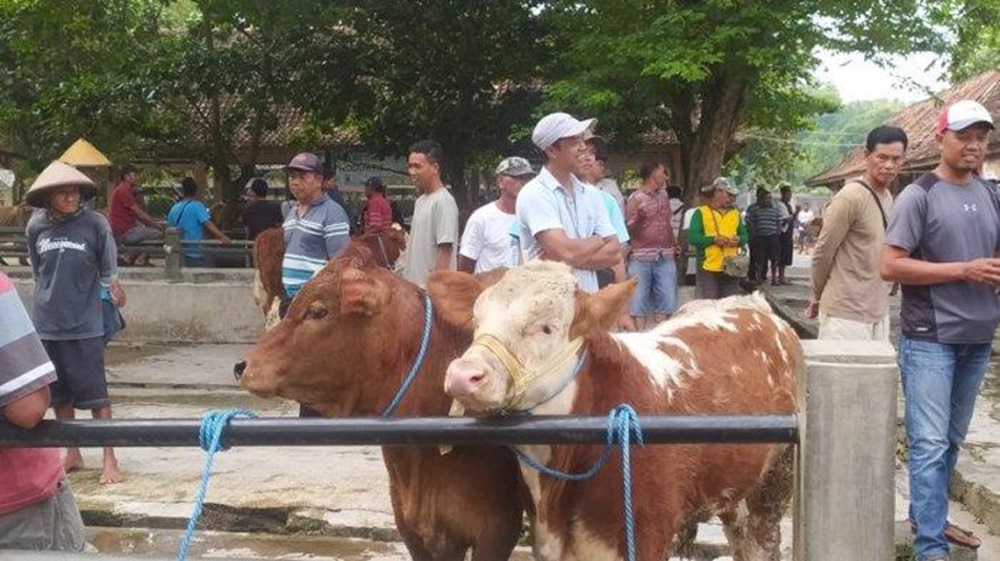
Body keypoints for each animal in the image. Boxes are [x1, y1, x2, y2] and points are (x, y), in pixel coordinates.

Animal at [434, 260, 800, 560]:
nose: (463, 374)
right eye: (476, 320)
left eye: (547, 327)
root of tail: (750, 304)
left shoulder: (648, 537)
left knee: (762, 542)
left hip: (777, 479)